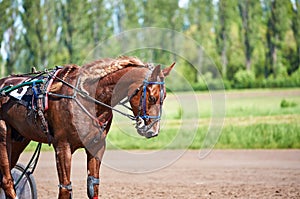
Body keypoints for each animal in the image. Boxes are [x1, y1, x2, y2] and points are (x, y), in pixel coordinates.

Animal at [0, 56, 173, 198]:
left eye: (164, 97)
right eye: (152, 97)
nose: (153, 131)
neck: (88, 97)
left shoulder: (97, 145)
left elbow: (93, 186)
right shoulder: (62, 147)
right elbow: (65, 189)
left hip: (19, 139)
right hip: (4, 134)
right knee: (7, 181)